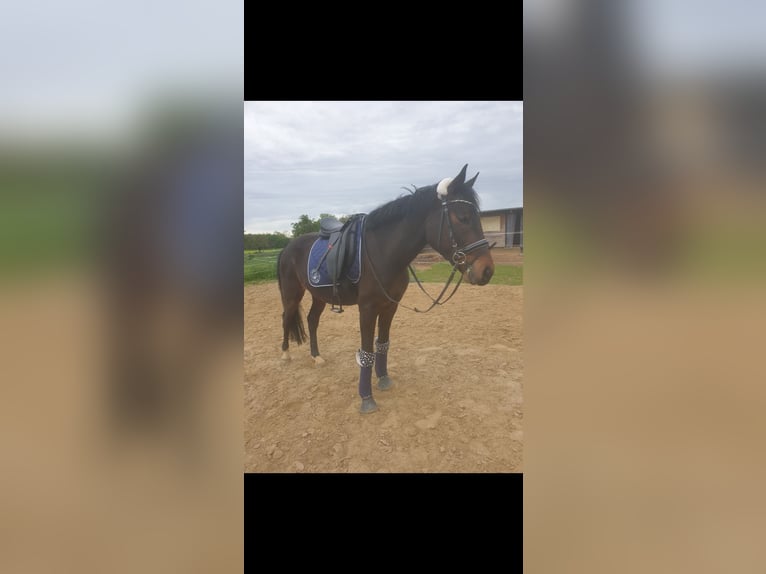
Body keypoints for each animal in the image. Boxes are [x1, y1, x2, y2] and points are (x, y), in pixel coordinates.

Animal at [280, 165, 496, 414]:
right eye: (462, 217)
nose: (487, 271)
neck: (383, 251)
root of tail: (288, 246)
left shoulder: (390, 306)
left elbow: (382, 344)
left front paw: (383, 379)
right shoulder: (367, 308)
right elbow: (366, 351)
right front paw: (366, 398)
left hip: (319, 296)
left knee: (312, 320)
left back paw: (316, 357)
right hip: (292, 294)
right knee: (286, 317)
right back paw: (285, 355)